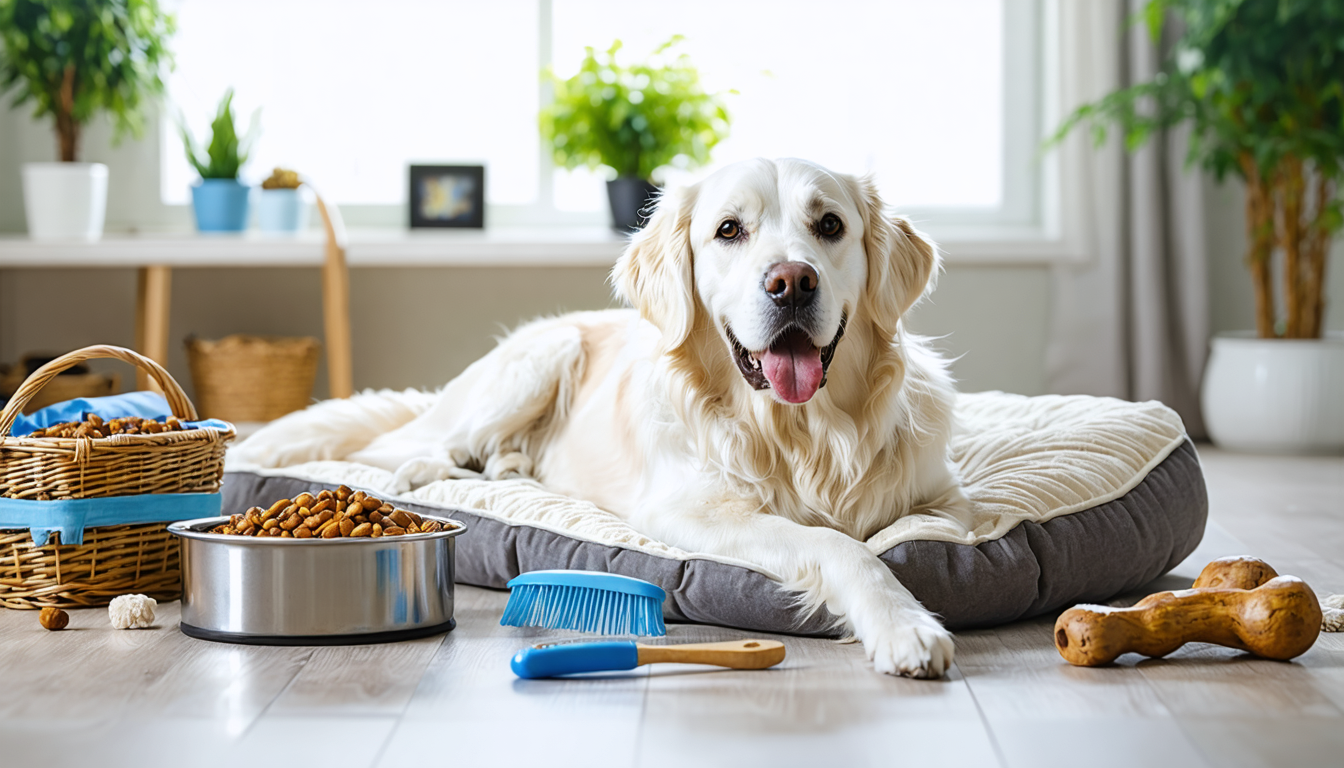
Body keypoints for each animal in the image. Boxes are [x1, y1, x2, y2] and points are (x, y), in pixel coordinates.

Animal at [233, 159, 967, 675]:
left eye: (831, 226)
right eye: (729, 230)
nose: (791, 282)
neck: (805, 433)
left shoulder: (949, 501)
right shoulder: (690, 512)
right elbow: (839, 546)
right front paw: (904, 625)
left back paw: (512, 469)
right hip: (539, 356)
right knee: (408, 446)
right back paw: (428, 470)